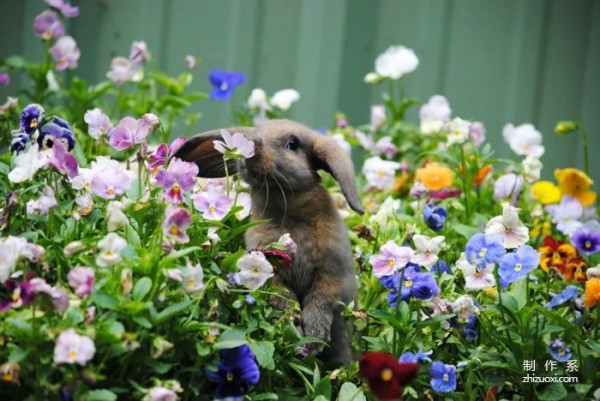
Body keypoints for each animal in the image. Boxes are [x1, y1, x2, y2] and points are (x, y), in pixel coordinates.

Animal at [171, 119, 364, 366]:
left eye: (293, 144)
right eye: (253, 134)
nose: (252, 148)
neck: (288, 209)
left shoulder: (332, 269)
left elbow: (322, 298)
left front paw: (314, 335)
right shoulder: (270, 269)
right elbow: (282, 298)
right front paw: (294, 328)